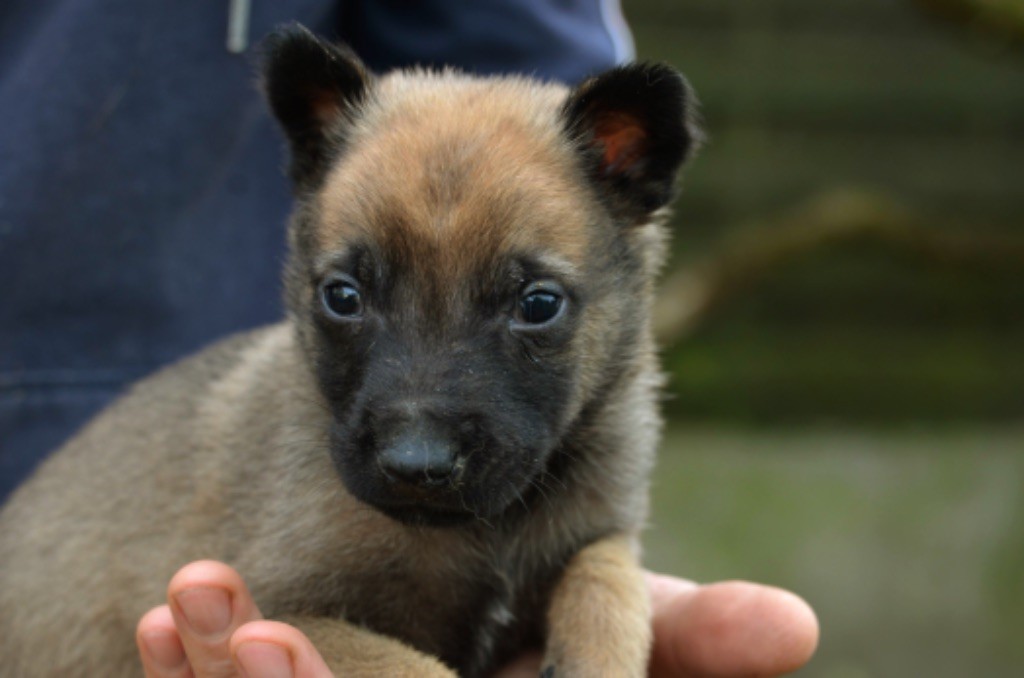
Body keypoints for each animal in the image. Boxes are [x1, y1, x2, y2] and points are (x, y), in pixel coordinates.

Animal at [0, 23, 696, 675]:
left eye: (539, 305)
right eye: (343, 296)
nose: (416, 466)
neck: (491, 529)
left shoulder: (603, 531)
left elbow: (609, 580)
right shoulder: (286, 609)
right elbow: (409, 664)